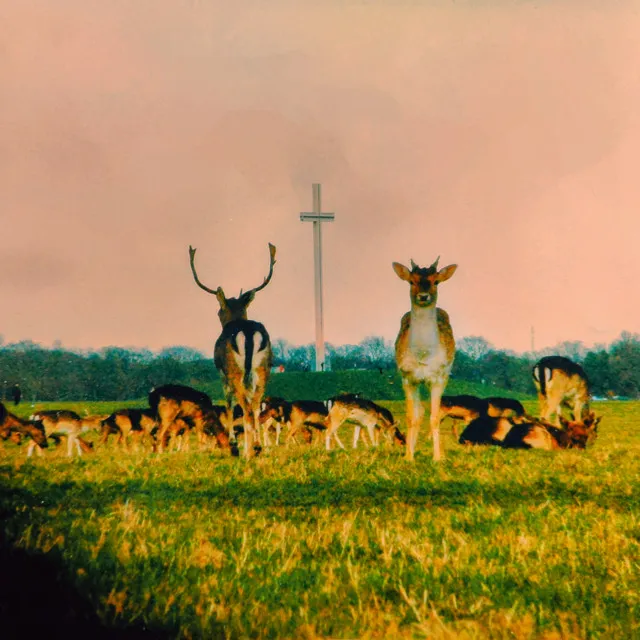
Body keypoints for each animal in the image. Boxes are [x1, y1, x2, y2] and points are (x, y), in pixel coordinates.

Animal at [185, 242, 276, 458]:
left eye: (219, 310)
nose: (219, 313)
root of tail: (249, 332)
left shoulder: (222, 372)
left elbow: (228, 402)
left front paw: (234, 443)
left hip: (235, 370)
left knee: (245, 405)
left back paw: (250, 449)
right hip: (263, 368)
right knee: (255, 404)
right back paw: (257, 447)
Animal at [392, 255, 458, 460]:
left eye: (436, 281)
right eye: (411, 281)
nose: (423, 296)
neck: (422, 353)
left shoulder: (438, 378)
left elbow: (435, 417)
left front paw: (437, 458)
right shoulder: (407, 377)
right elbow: (410, 416)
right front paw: (408, 457)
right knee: (419, 411)